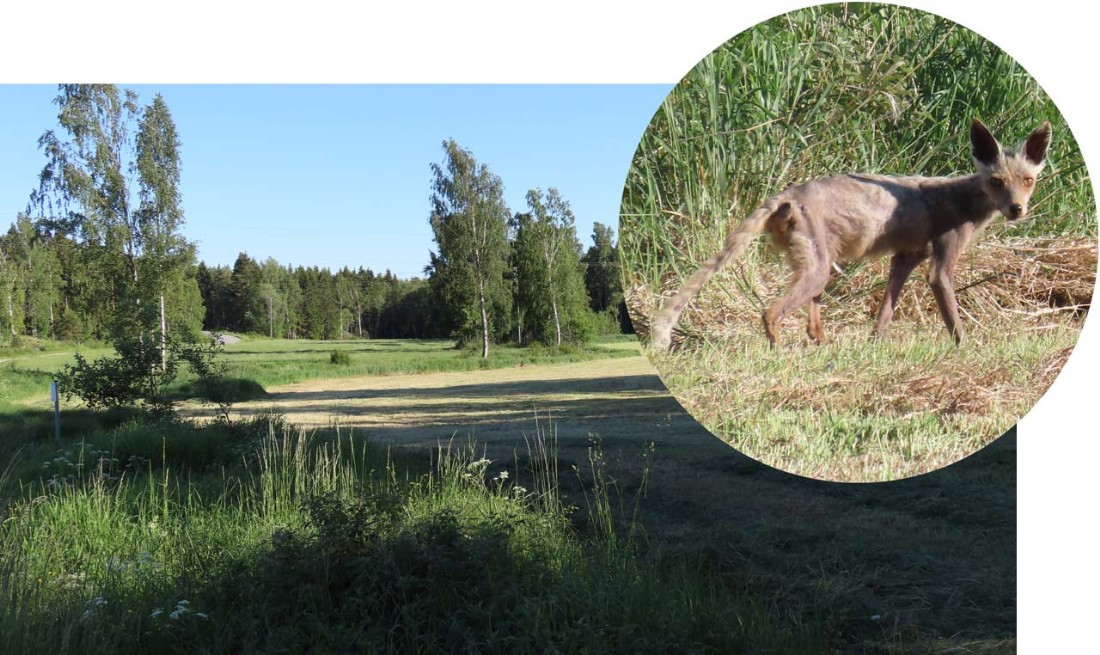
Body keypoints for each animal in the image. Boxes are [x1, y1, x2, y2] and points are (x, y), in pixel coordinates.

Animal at [646, 119, 1051, 350]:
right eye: (996, 182)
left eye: (1027, 181)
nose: (1016, 210)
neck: (965, 199)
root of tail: (784, 195)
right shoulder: (939, 265)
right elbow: (953, 318)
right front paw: (966, 349)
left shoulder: (906, 256)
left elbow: (886, 310)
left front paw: (874, 346)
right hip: (816, 270)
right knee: (769, 312)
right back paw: (778, 350)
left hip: (819, 267)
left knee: (809, 317)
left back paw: (821, 342)